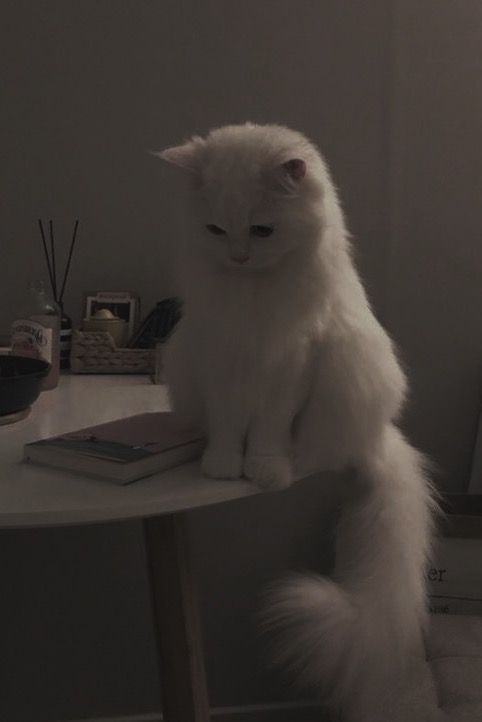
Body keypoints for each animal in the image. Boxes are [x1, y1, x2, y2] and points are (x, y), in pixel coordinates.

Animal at [156, 124, 438, 720]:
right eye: (216, 230)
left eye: (262, 230)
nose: (239, 257)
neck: (251, 295)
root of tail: (378, 440)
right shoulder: (220, 364)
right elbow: (227, 428)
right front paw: (222, 467)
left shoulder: (291, 366)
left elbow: (265, 433)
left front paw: (261, 471)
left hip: (344, 375)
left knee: (315, 452)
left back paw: (291, 465)